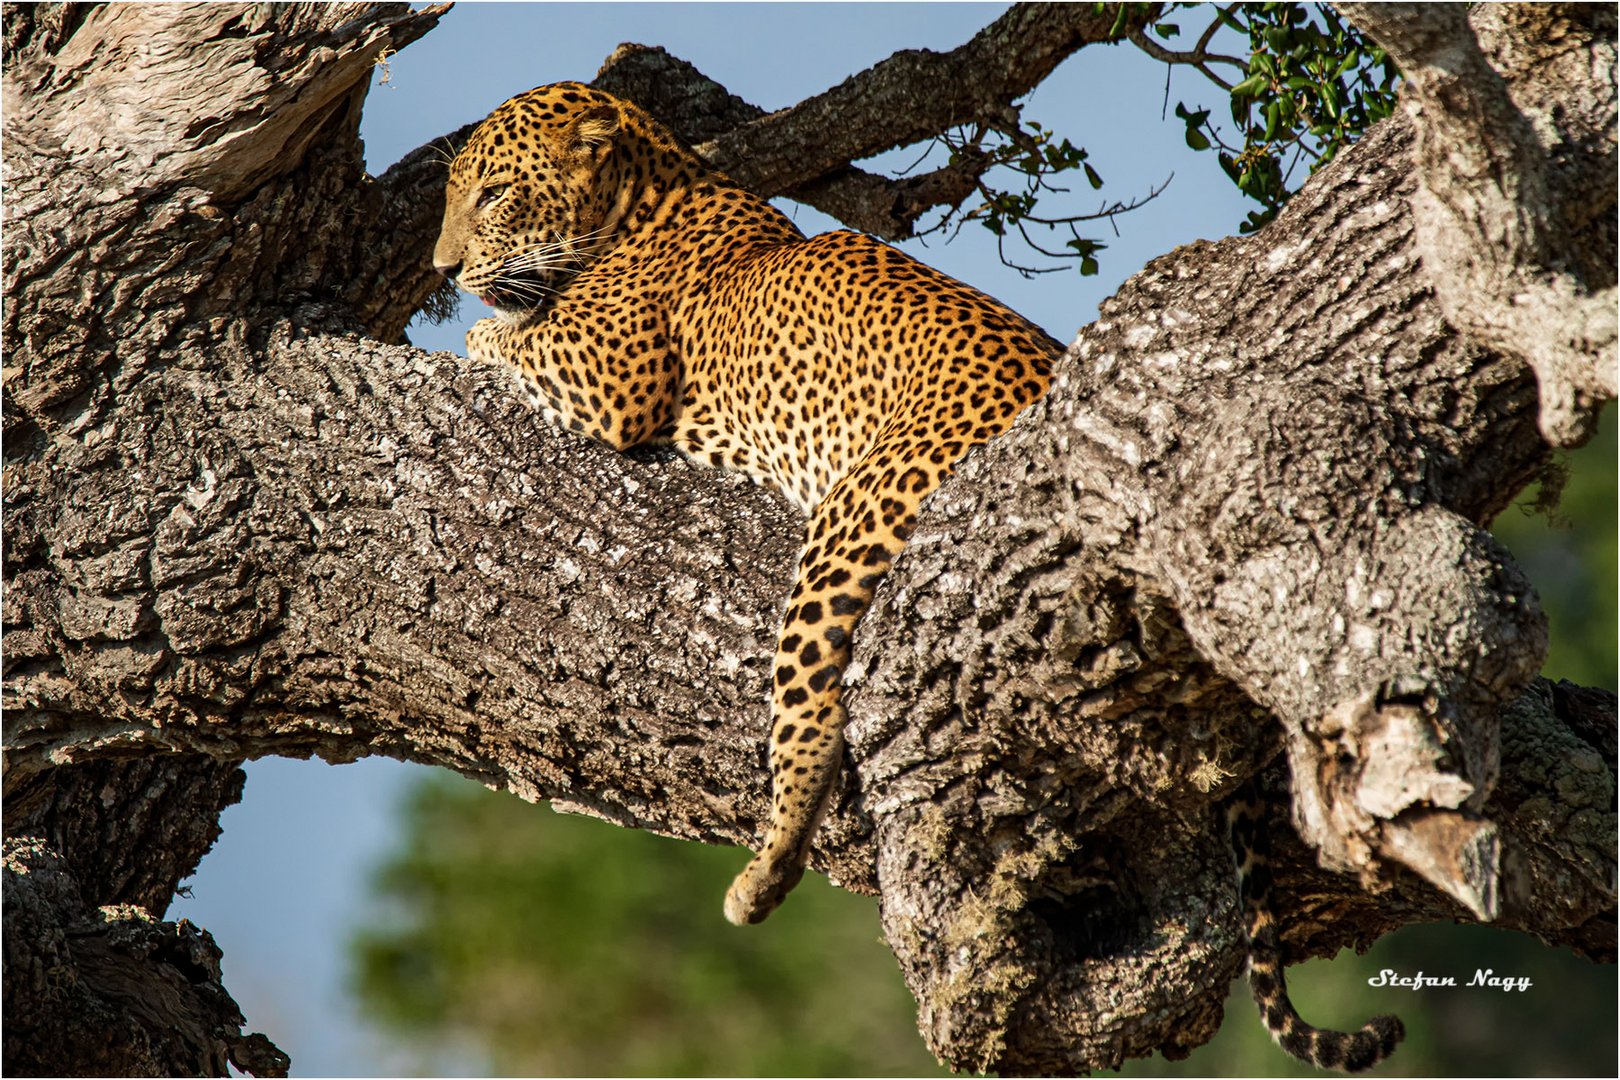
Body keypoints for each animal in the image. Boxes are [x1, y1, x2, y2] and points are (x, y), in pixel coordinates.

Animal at [434, 82, 1406, 1075]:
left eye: (495, 193)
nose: (442, 269)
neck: (648, 192)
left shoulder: (611, 380)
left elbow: (511, 335)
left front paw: (477, 326)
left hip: (844, 529)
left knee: (811, 714)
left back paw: (762, 874)